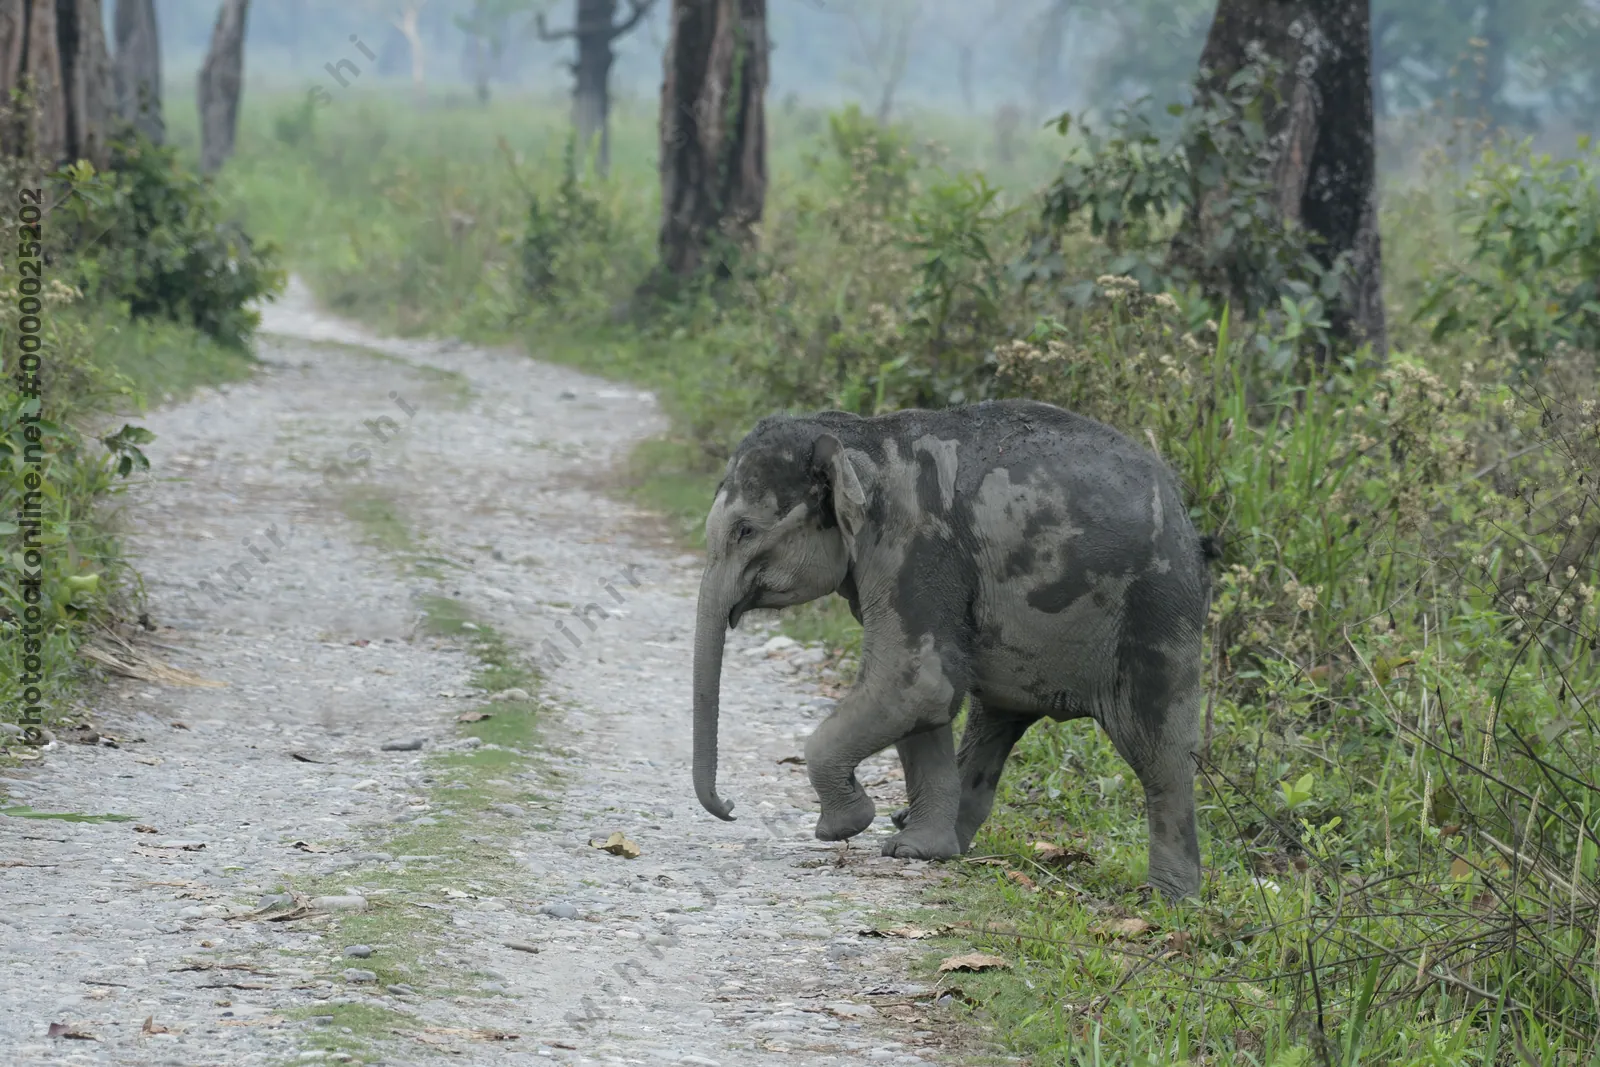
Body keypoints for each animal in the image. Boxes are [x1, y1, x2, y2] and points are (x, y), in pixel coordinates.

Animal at [690, 398, 1218, 901]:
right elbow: (921, 699)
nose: (731, 807)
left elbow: (915, 683)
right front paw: (913, 851)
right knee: (994, 724)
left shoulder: (916, 547)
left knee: (1161, 752)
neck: (860, 437)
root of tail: (1188, 517)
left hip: (1159, 609)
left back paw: (1169, 900)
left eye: (744, 530)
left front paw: (847, 827)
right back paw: (943, 840)